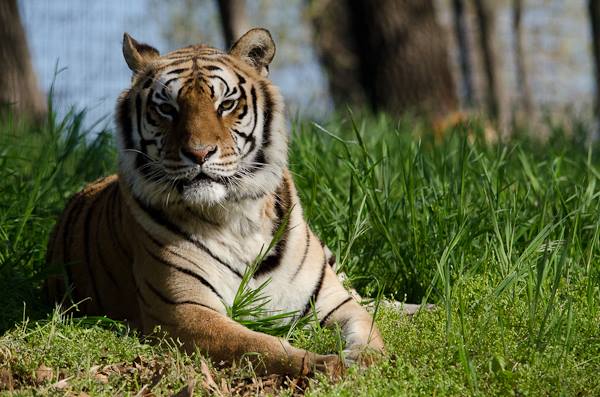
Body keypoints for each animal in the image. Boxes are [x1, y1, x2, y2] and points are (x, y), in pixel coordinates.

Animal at [47, 27, 384, 374]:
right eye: (167, 108)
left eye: (226, 104)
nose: (199, 153)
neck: (238, 217)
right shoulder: (183, 309)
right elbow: (259, 344)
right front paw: (326, 365)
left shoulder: (334, 300)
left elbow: (369, 330)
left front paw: (363, 359)